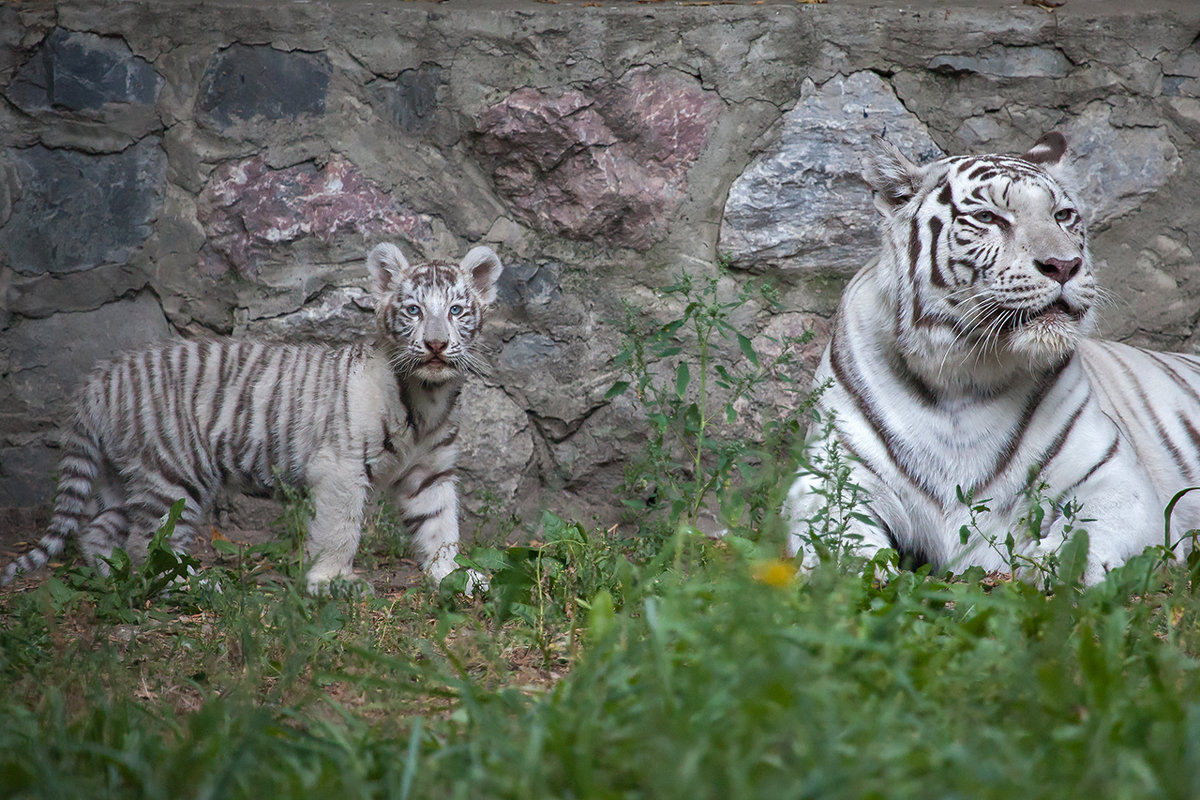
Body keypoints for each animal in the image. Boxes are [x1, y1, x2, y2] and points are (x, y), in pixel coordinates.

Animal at [0, 241, 496, 592]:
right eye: (414, 310)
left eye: (456, 310)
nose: (435, 345)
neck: (428, 397)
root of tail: (101, 377)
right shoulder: (340, 467)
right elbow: (340, 530)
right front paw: (332, 583)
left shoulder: (430, 471)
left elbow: (440, 525)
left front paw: (455, 576)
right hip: (174, 473)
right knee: (149, 543)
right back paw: (194, 585)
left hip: (122, 477)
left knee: (99, 533)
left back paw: (114, 581)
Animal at [787, 134, 1200, 585]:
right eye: (988, 217)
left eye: (1063, 215)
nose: (1064, 265)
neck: (961, 376)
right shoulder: (830, 477)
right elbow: (834, 534)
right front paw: (853, 574)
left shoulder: (1114, 475)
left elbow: (1092, 526)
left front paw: (1058, 564)